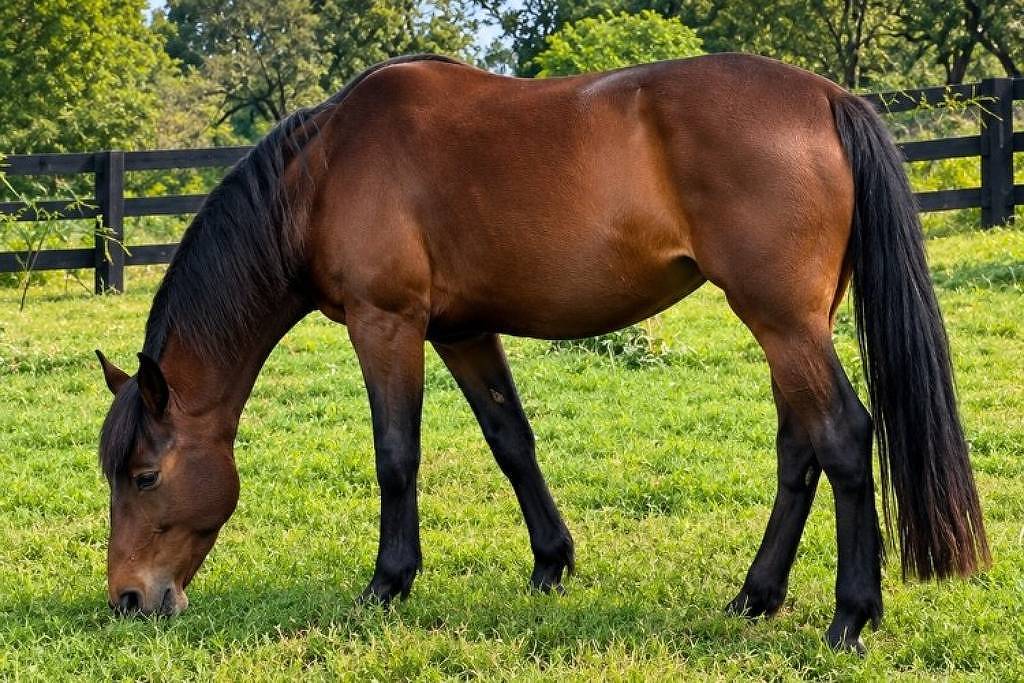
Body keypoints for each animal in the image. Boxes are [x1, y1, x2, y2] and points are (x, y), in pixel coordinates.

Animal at [95, 53, 989, 652]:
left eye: (143, 475)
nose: (128, 599)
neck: (321, 171)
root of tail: (829, 96)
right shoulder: (461, 330)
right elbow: (511, 441)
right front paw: (551, 562)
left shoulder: (387, 324)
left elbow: (396, 455)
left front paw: (388, 581)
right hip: (793, 325)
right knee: (798, 446)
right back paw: (755, 595)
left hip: (783, 322)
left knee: (841, 436)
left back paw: (850, 614)